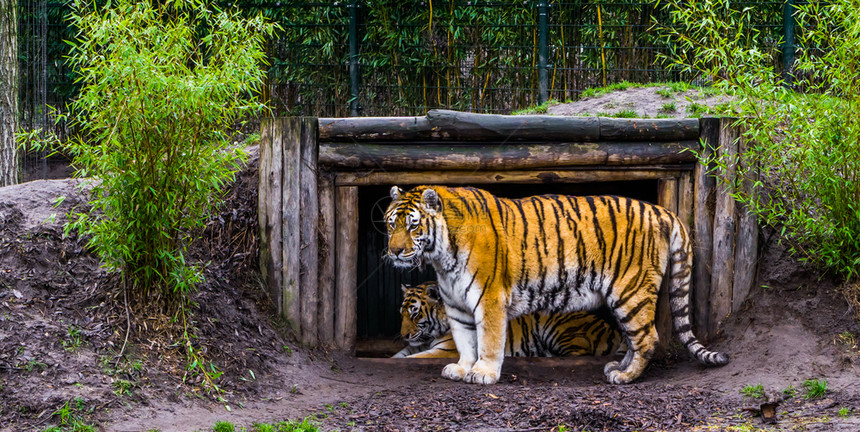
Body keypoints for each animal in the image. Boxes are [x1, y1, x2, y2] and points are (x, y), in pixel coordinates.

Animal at [392, 280, 624, 358]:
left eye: (414, 312)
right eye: (401, 313)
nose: (403, 335)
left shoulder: (444, 351)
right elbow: (399, 356)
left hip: (557, 328)